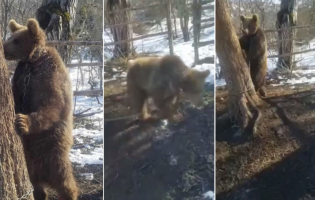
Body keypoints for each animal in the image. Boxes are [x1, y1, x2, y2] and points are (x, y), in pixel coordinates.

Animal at [3, 18, 78, 200]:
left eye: (16, 40)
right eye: (10, 37)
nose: (3, 47)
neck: (33, 62)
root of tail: (43, 174)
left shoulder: (49, 79)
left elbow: (52, 105)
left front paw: (22, 121)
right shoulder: (21, 79)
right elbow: (15, 96)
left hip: (54, 152)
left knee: (65, 181)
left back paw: (69, 193)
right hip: (30, 161)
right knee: (37, 186)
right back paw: (40, 192)